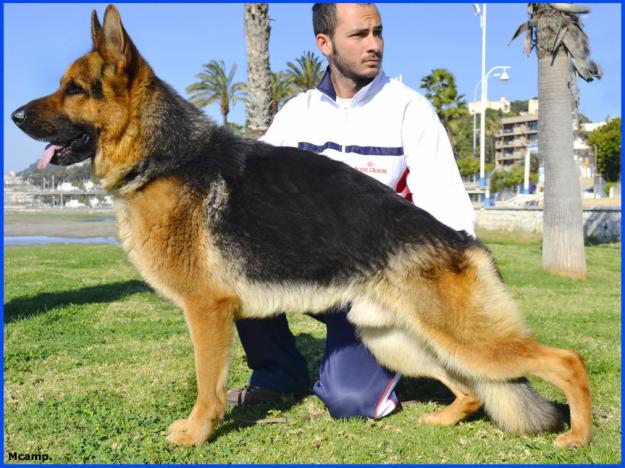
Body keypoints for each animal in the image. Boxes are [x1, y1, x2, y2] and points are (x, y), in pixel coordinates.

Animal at [12, 4, 592, 450]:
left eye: (74, 89)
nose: (16, 116)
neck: (164, 157)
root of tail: (462, 240)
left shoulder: (206, 308)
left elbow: (206, 385)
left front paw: (197, 434)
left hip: (461, 338)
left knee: (567, 360)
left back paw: (579, 436)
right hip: (402, 341)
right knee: (471, 388)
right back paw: (444, 418)